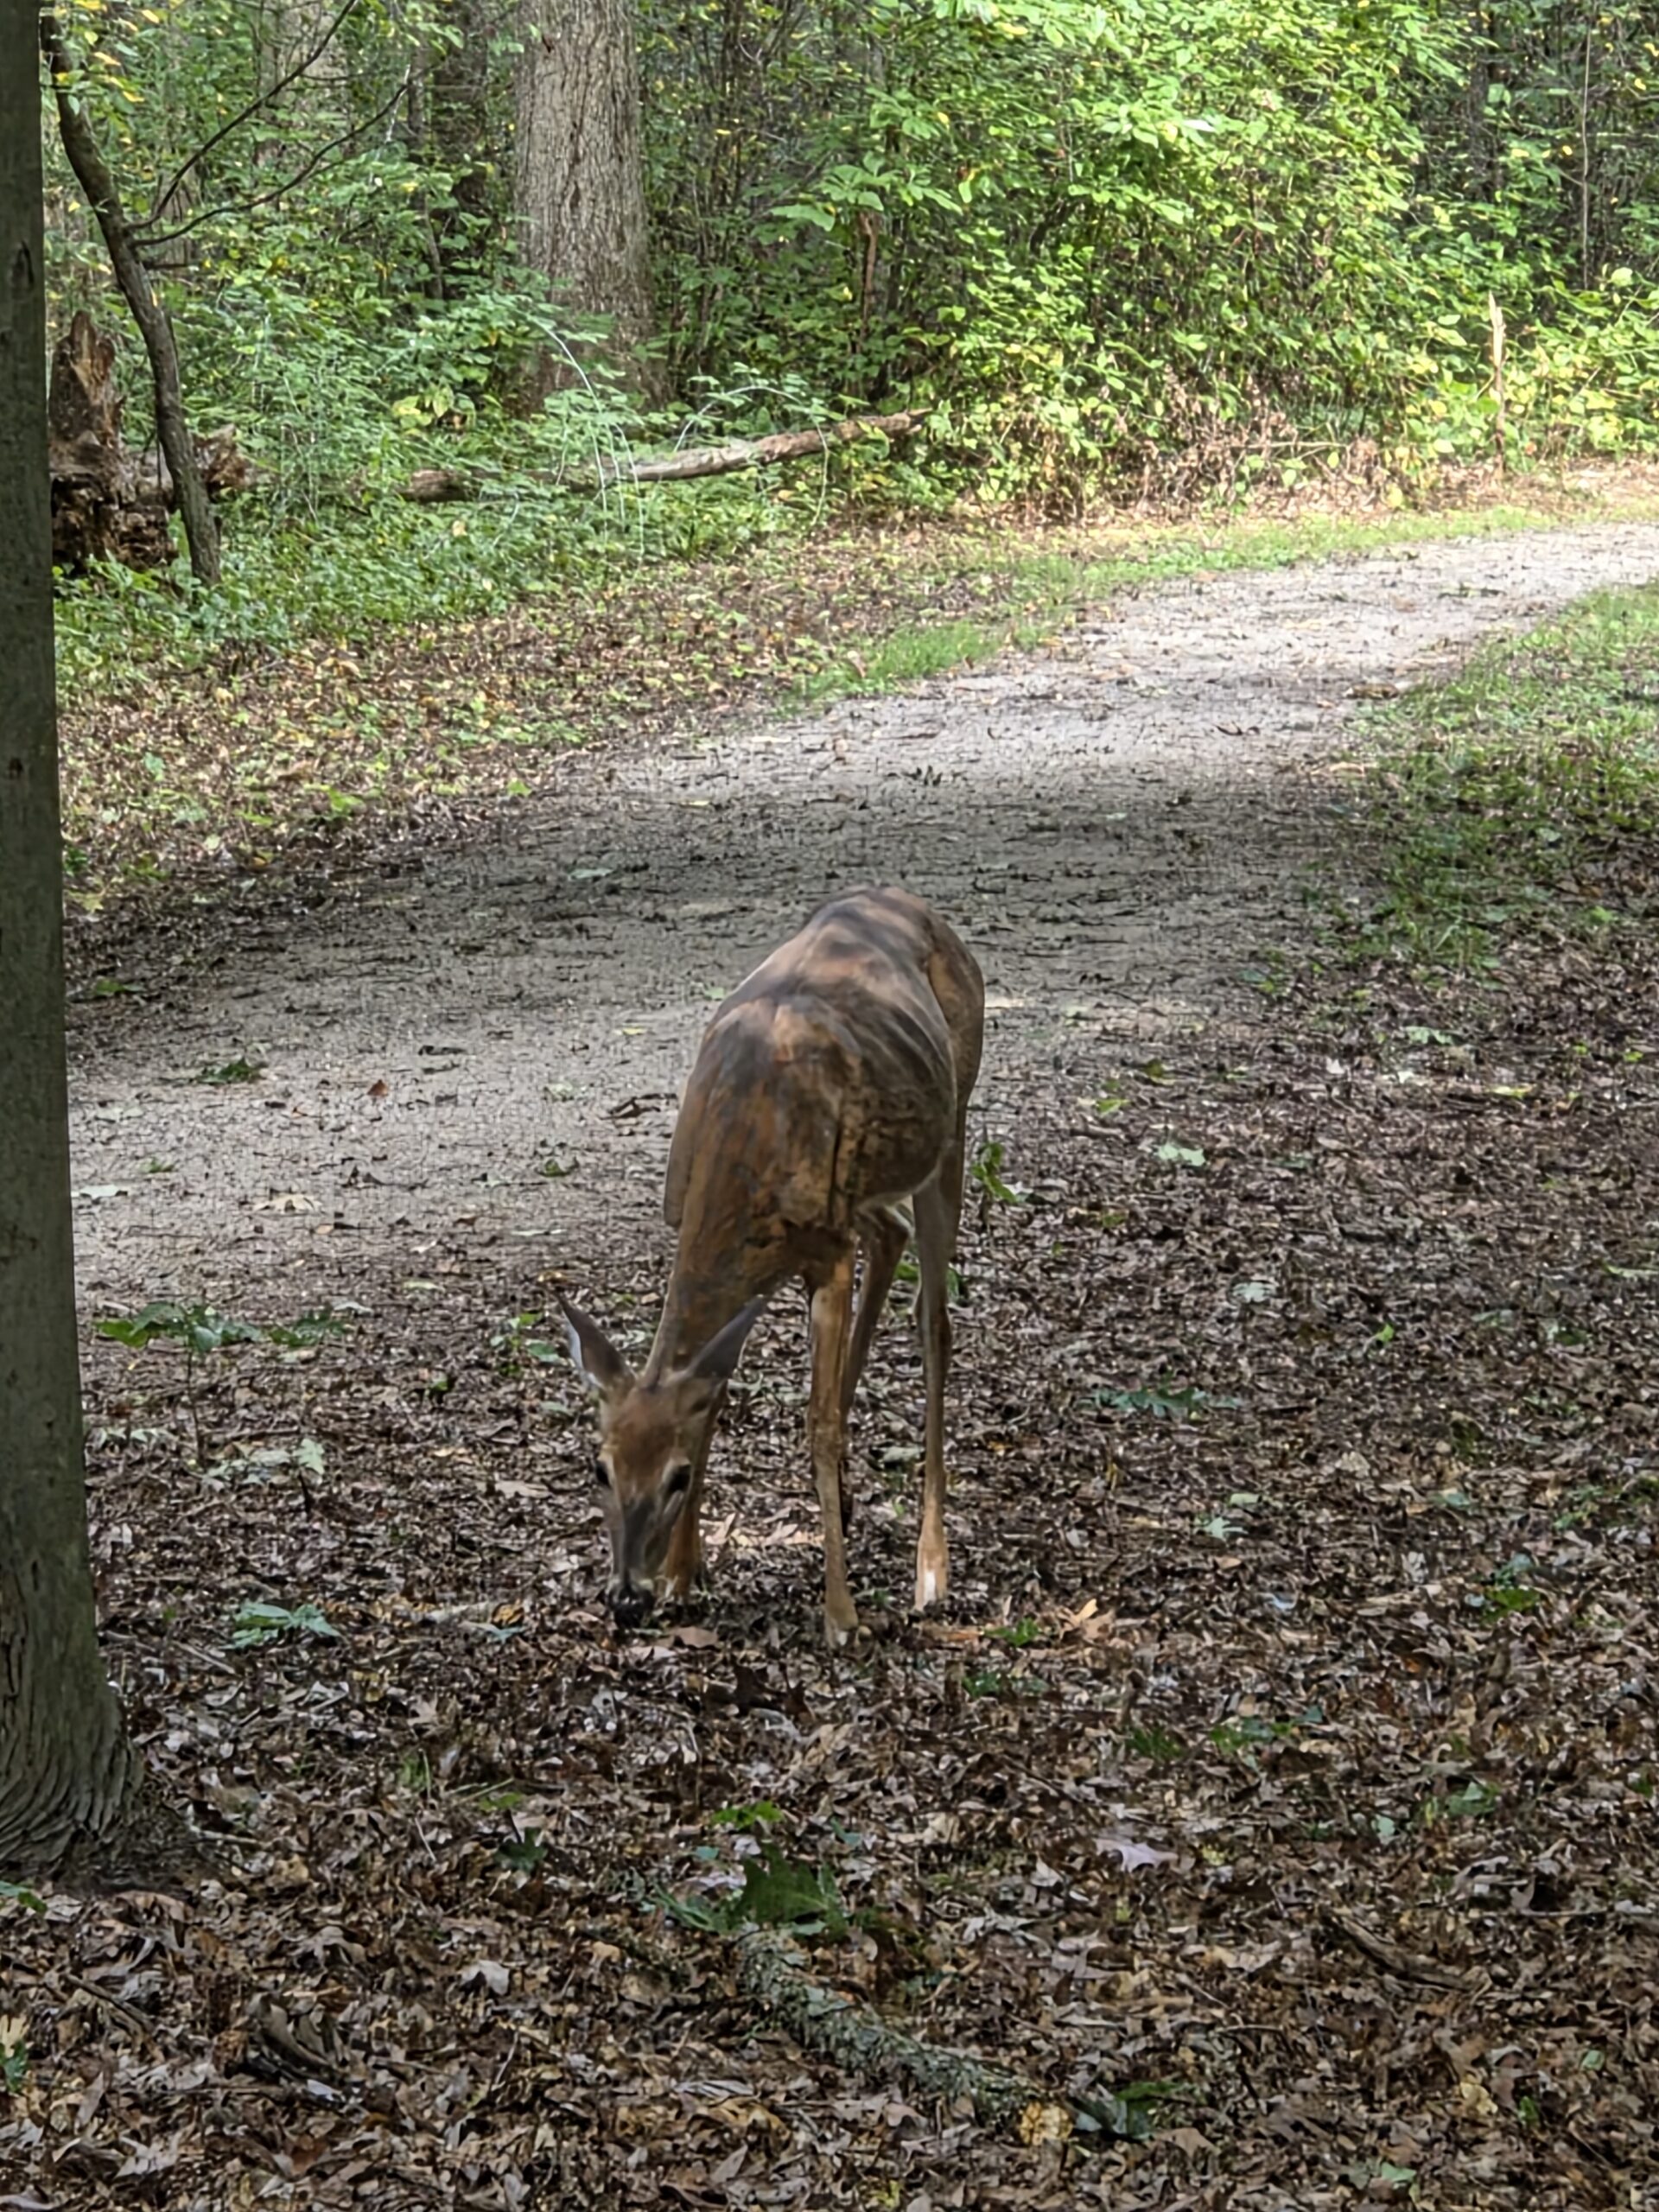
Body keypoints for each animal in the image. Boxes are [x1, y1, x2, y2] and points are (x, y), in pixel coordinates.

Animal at [557, 886, 985, 1649]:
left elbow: (818, 1424)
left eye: (676, 1477)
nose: (627, 1597)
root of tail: (917, 905)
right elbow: (715, 1395)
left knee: (935, 1321)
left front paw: (841, 1615)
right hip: (864, 1196)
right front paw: (684, 1576)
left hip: (951, 1128)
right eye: (597, 1466)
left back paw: (931, 1574)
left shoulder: (827, 1252)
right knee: (893, 1233)